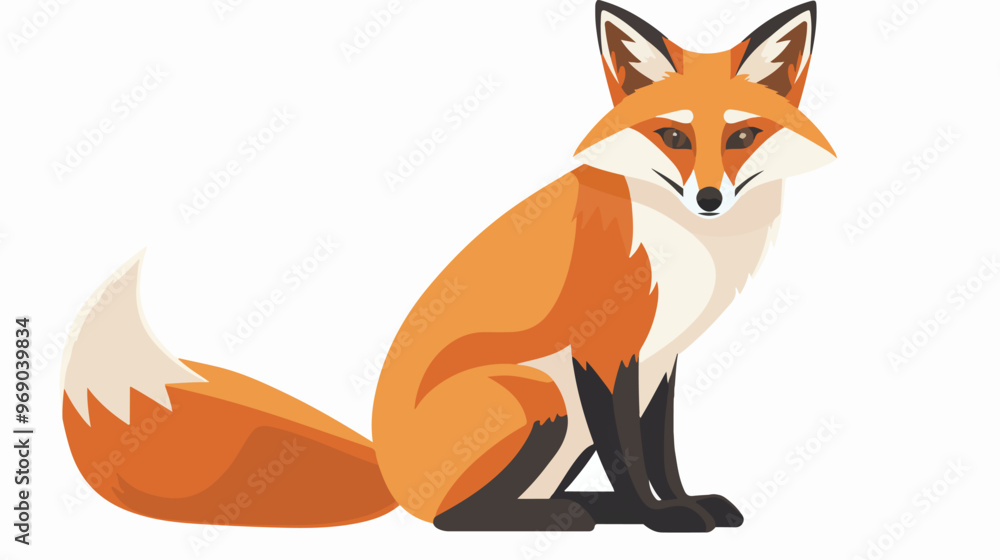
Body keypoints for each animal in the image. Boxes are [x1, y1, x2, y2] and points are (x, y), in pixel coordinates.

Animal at [61, 1, 835, 532]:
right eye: (673, 137)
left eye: (741, 136)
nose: (709, 198)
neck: (686, 247)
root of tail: (388, 471)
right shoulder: (604, 346)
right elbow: (634, 457)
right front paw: (661, 519)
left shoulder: (660, 357)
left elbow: (662, 449)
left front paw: (681, 504)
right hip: (539, 397)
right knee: (450, 518)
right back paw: (560, 519)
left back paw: (579, 508)